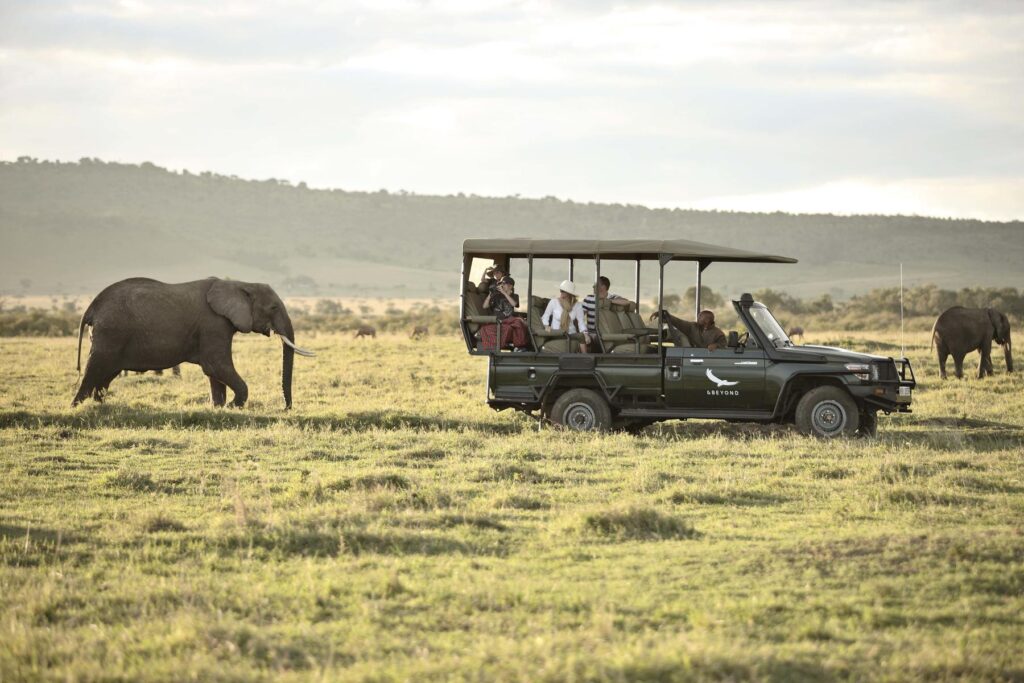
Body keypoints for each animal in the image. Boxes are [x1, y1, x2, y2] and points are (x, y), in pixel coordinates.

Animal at [73, 276, 311, 409]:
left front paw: (217, 408)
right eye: (273, 307)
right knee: (94, 369)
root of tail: (91, 307)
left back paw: (100, 406)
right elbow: (217, 366)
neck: (240, 283)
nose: (286, 408)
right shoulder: (213, 324)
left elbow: (215, 372)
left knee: (105, 375)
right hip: (110, 332)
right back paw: (76, 407)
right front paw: (232, 407)